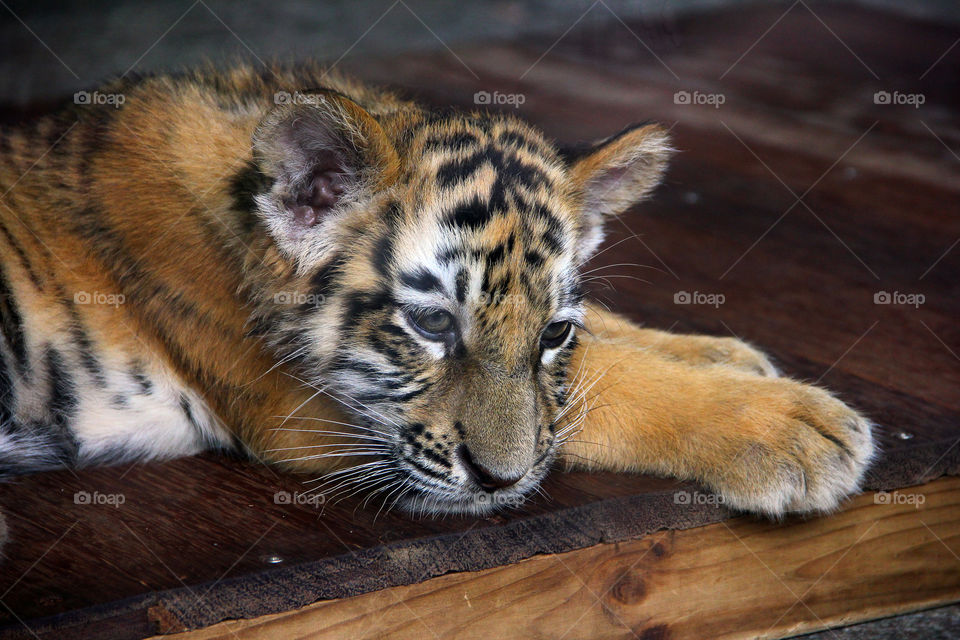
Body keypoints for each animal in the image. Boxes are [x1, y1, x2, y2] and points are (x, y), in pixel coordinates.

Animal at [0, 63, 875, 518]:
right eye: (430, 325)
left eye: (552, 332)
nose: (501, 482)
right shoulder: (293, 410)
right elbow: (604, 388)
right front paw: (797, 430)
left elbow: (606, 345)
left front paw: (725, 354)